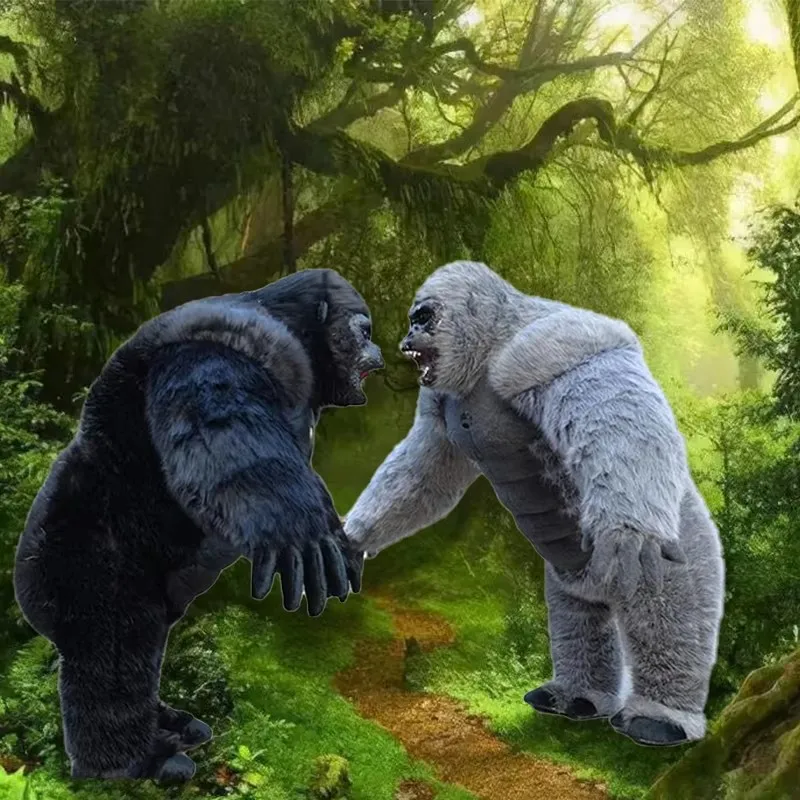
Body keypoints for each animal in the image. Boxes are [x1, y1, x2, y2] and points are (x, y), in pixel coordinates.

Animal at [13, 269, 383, 782]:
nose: (380, 352)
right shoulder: (220, 352)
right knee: (112, 661)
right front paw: (301, 524)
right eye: (362, 330)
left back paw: (168, 724)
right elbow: (222, 430)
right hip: (82, 568)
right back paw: (133, 762)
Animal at [343, 260, 724, 748]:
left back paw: (661, 716)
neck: (490, 348)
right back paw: (577, 694)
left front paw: (628, 531)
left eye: (423, 318)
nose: (407, 339)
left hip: (677, 538)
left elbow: (614, 409)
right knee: (577, 615)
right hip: (576, 579)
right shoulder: (439, 398)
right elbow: (426, 469)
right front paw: (354, 538)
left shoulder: (548, 350)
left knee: (669, 609)